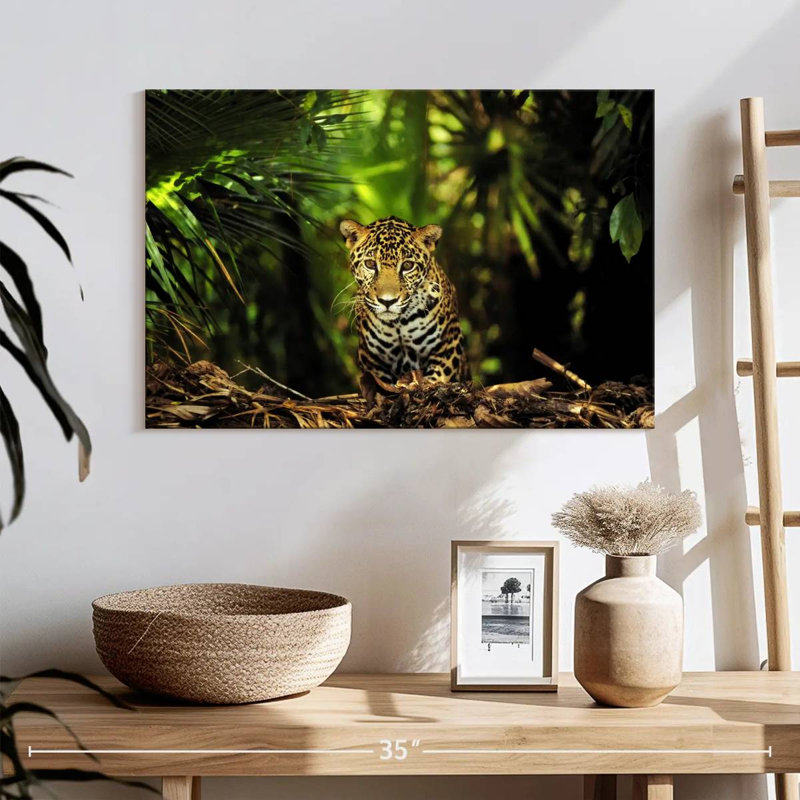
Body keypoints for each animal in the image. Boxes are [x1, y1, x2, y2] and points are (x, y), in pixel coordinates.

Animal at [339, 216, 469, 385]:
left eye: (407, 265)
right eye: (370, 264)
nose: (387, 301)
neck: (399, 324)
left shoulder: (449, 346)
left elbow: (436, 379)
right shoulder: (372, 360)